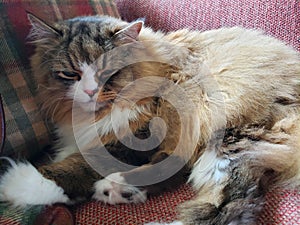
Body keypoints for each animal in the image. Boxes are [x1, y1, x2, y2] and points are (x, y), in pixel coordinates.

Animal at [0, 14, 300, 225]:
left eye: (107, 72)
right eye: (70, 74)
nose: (90, 92)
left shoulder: (139, 134)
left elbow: (79, 164)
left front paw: (20, 183)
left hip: (228, 141)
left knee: (232, 204)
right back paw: (117, 189)